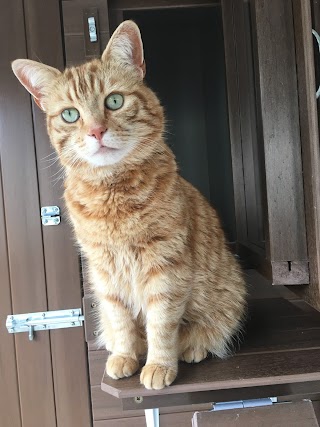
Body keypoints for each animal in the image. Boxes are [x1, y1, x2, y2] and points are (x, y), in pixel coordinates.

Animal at [11, 22, 245, 392]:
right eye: (70, 114)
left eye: (115, 101)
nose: (96, 131)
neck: (113, 197)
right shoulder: (103, 272)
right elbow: (120, 320)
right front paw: (125, 356)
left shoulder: (165, 265)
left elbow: (161, 323)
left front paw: (159, 365)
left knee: (206, 332)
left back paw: (192, 348)